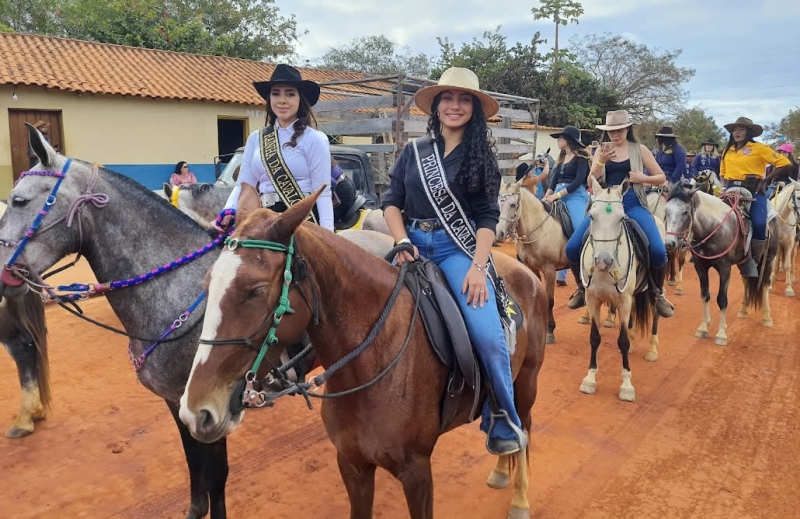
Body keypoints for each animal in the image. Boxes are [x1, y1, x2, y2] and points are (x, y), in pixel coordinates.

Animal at [178, 189, 548, 519]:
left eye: (254, 291)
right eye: (206, 284)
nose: (196, 412)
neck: (372, 362)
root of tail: (526, 273)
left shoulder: (416, 472)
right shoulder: (352, 464)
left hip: (527, 382)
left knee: (525, 429)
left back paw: (521, 499)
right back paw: (500, 469)